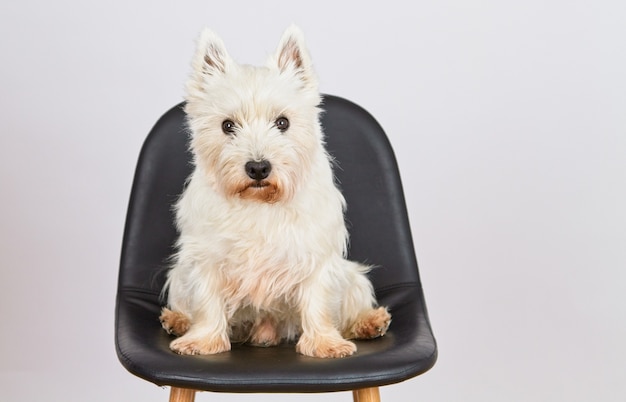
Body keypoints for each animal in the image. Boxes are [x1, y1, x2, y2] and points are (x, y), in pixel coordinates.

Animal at [158, 25, 388, 358]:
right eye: (227, 125)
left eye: (283, 122)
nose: (258, 168)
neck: (259, 201)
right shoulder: (206, 256)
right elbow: (207, 299)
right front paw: (202, 340)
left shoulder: (315, 254)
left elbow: (318, 301)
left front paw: (324, 343)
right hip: (178, 274)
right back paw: (177, 320)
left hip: (351, 276)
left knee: (351, 304)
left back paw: (369, 322)